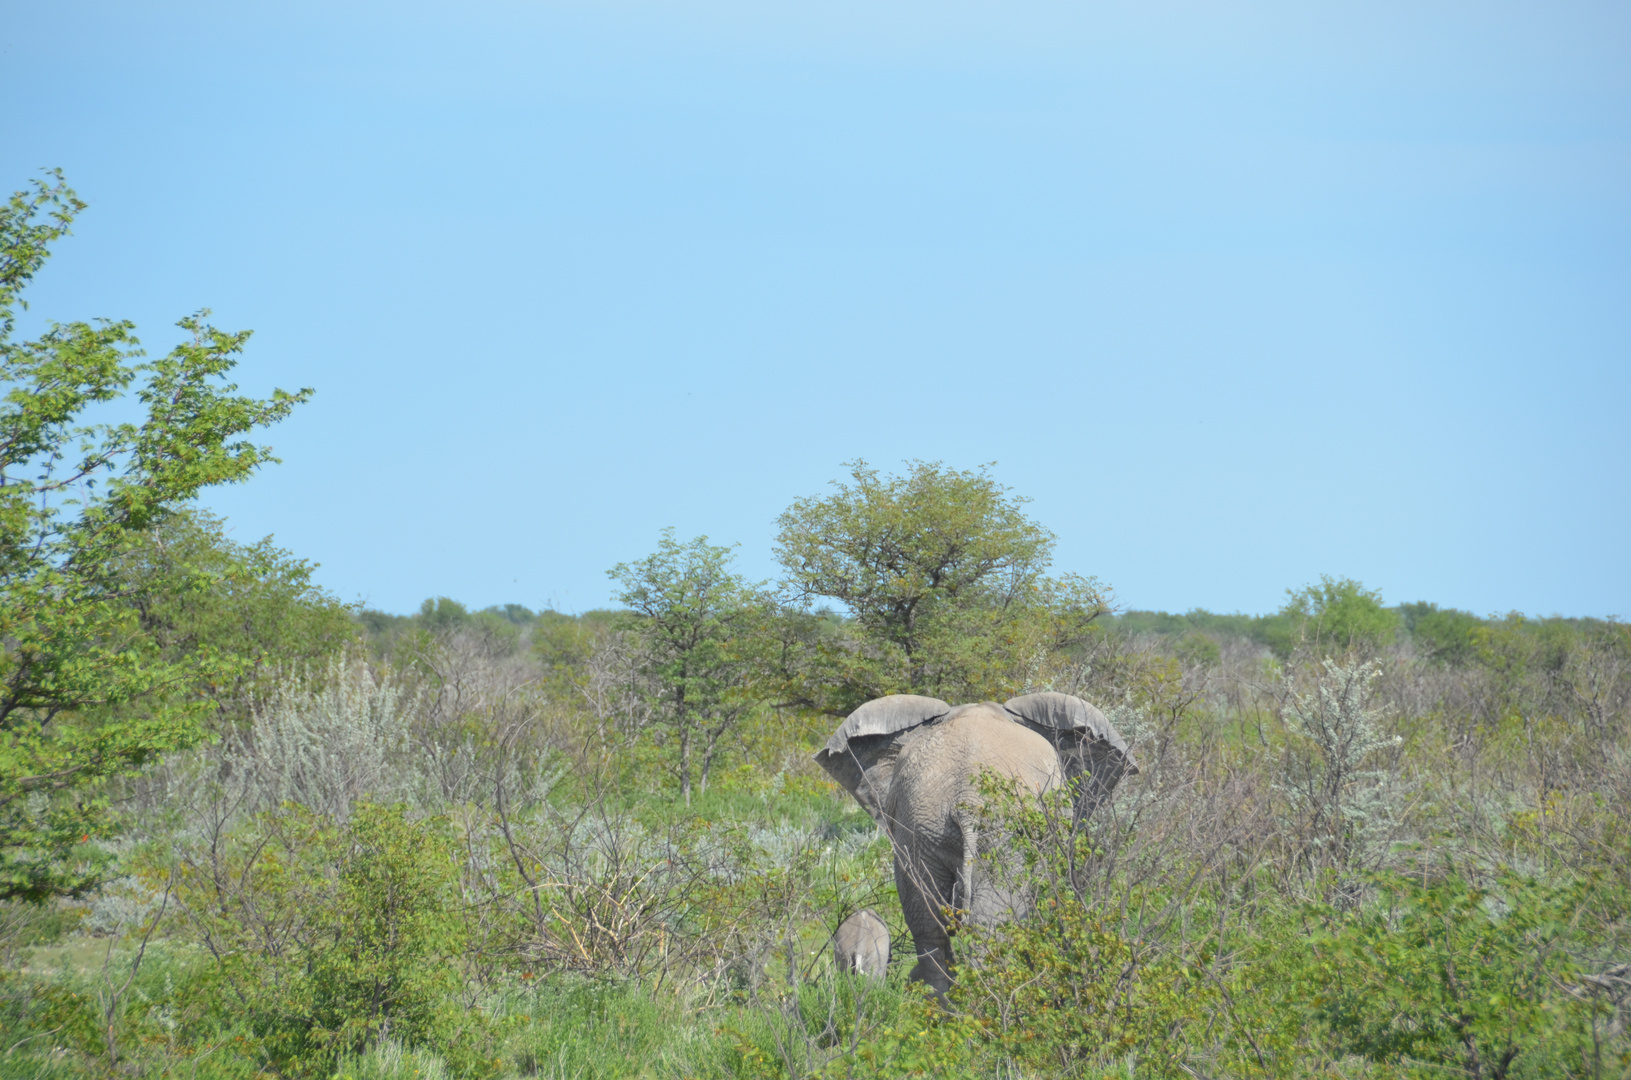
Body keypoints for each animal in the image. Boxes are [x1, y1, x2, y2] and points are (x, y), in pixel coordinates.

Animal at [812, 694, 1135, 998]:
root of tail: (966, 799)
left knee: (927, 924)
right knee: (988, 927)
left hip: (918, 828)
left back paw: (945, 1009)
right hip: (1002, 837)